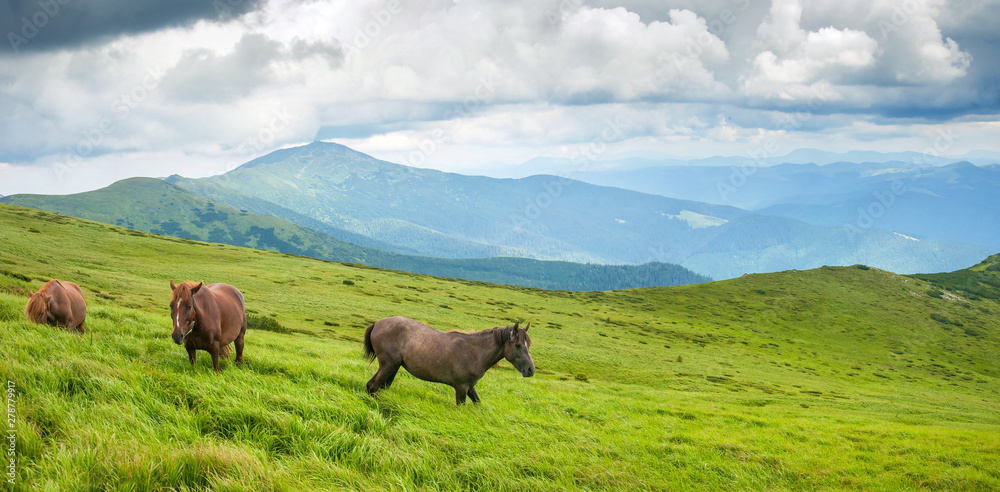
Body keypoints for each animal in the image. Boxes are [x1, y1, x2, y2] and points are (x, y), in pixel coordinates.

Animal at [364, 316, 535, 404]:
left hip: (393, 367)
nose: (530, 370)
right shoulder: (461, 387)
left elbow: (477, 402)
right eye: (518, 345)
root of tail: (377, 324)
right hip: (389, 366)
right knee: (373, 386)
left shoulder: (469, 387)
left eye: (528, 345)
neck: (474, 352)